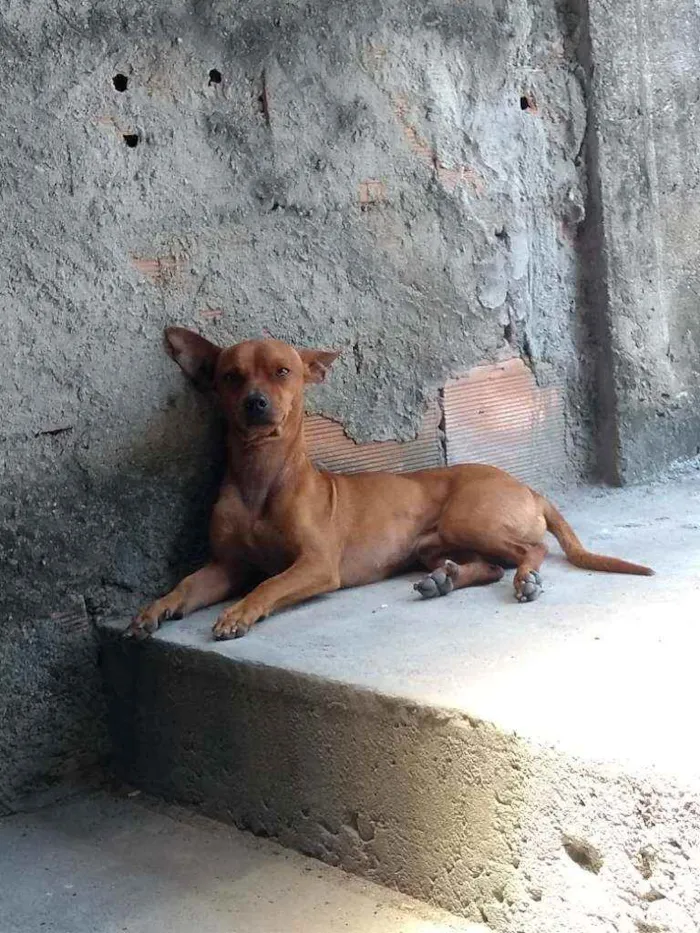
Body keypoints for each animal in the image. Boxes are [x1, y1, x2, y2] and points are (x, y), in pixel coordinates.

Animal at [124, 328, 652, 640]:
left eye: (283, 371)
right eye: (231, 376)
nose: (255, 402)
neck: (261, 476)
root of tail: (528, 488)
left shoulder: (316, 565)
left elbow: (269, 584)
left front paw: (239, 613)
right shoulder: (226, 567)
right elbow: (185, 585)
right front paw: (155, 609)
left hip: (469, 519)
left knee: (530, 552)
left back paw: (524, 579)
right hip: (435, 545)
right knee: (487, 567)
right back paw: (446, 580)